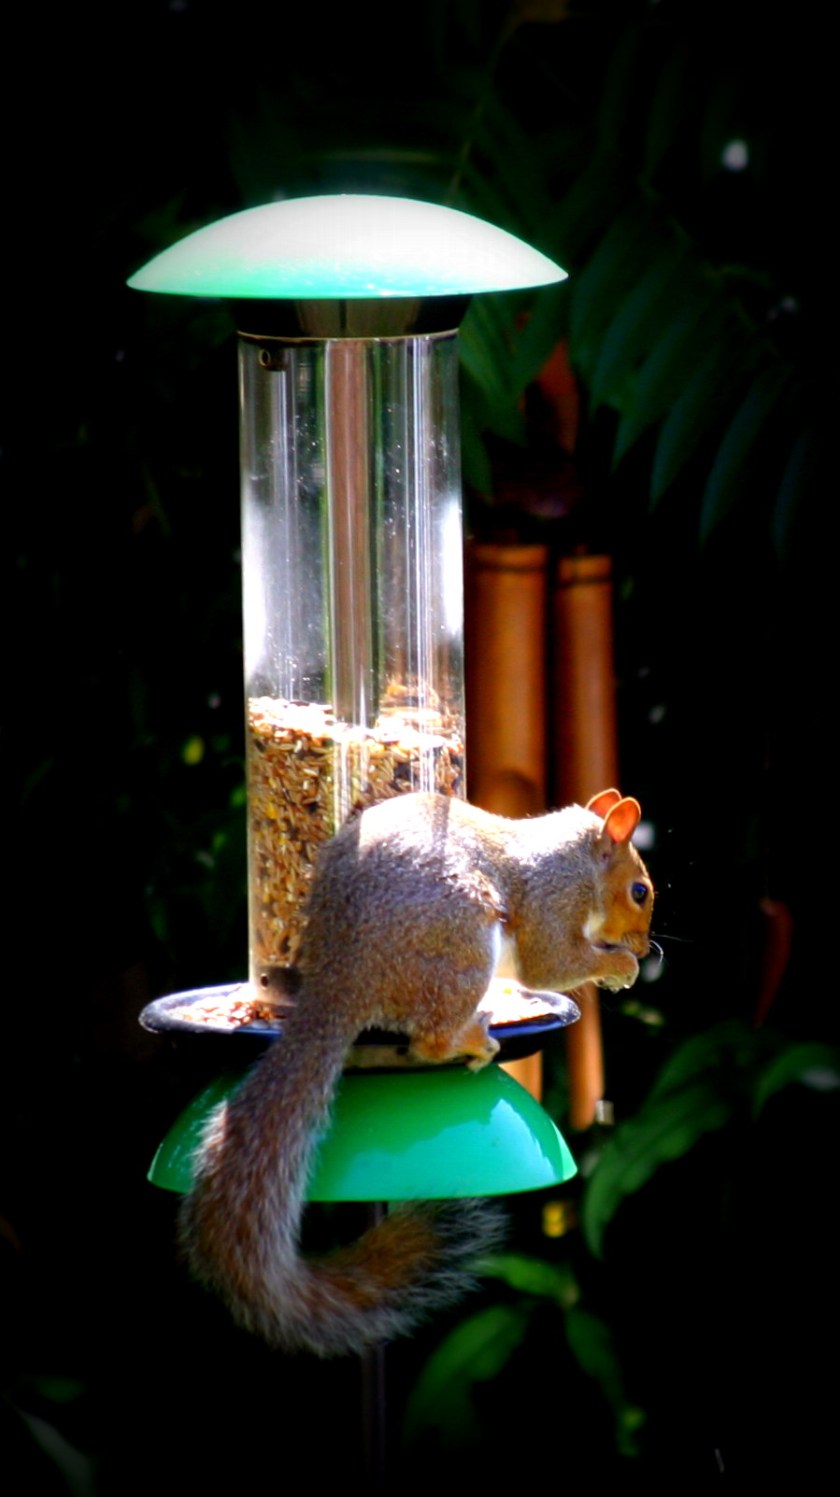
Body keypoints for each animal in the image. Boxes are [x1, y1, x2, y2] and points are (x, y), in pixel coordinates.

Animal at [180, 787, 654, 1357]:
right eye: (640, 891)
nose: (645, 947)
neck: (574, 855)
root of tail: (343, 978)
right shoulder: (553, 900)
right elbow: (552, 962)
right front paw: (620, 967)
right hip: (461, 942)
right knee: (430, 1039)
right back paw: (473, 1039)